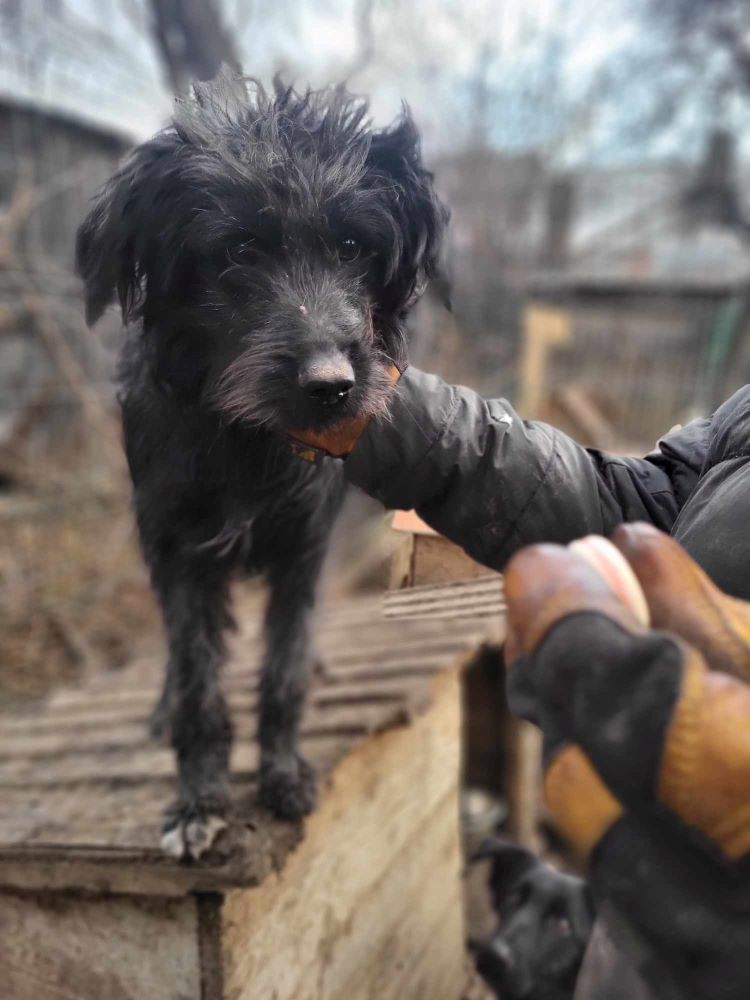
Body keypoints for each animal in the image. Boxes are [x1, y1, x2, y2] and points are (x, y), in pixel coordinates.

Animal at [76, 70, 450, 856]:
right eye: (239, 251)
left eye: (353, 246)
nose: (333, 386)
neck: (246, 440)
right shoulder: (177, 549)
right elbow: (197, 681)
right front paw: (198, 800)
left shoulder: (301, 549)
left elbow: (283, 670)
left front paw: (281, 773)